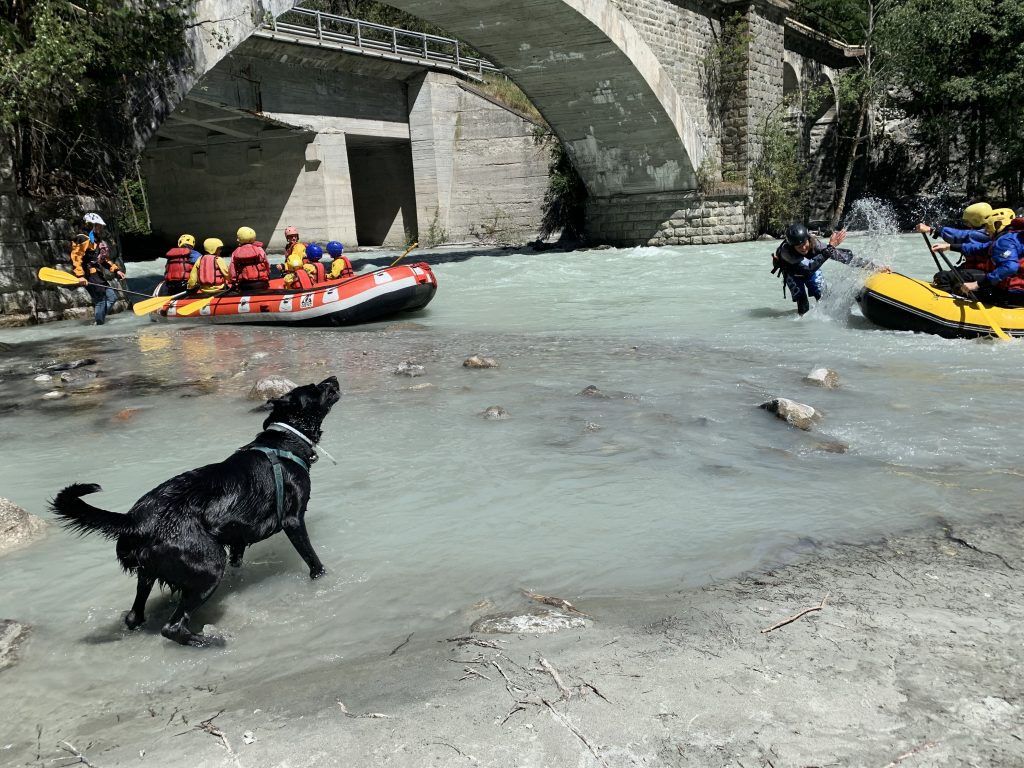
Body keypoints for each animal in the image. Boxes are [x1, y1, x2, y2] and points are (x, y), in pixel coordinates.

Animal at [51, 376, 342, 647]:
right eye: (315, 388)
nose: (334, 379)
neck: (285, 441)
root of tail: (136, 520)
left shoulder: (238, 537)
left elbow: (239, 561)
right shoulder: (293, 521)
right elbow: (313, 561)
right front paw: (322, 577)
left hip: (148, 573)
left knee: (135, 616)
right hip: (209, 566)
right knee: (172, 628)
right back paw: (210, 641)